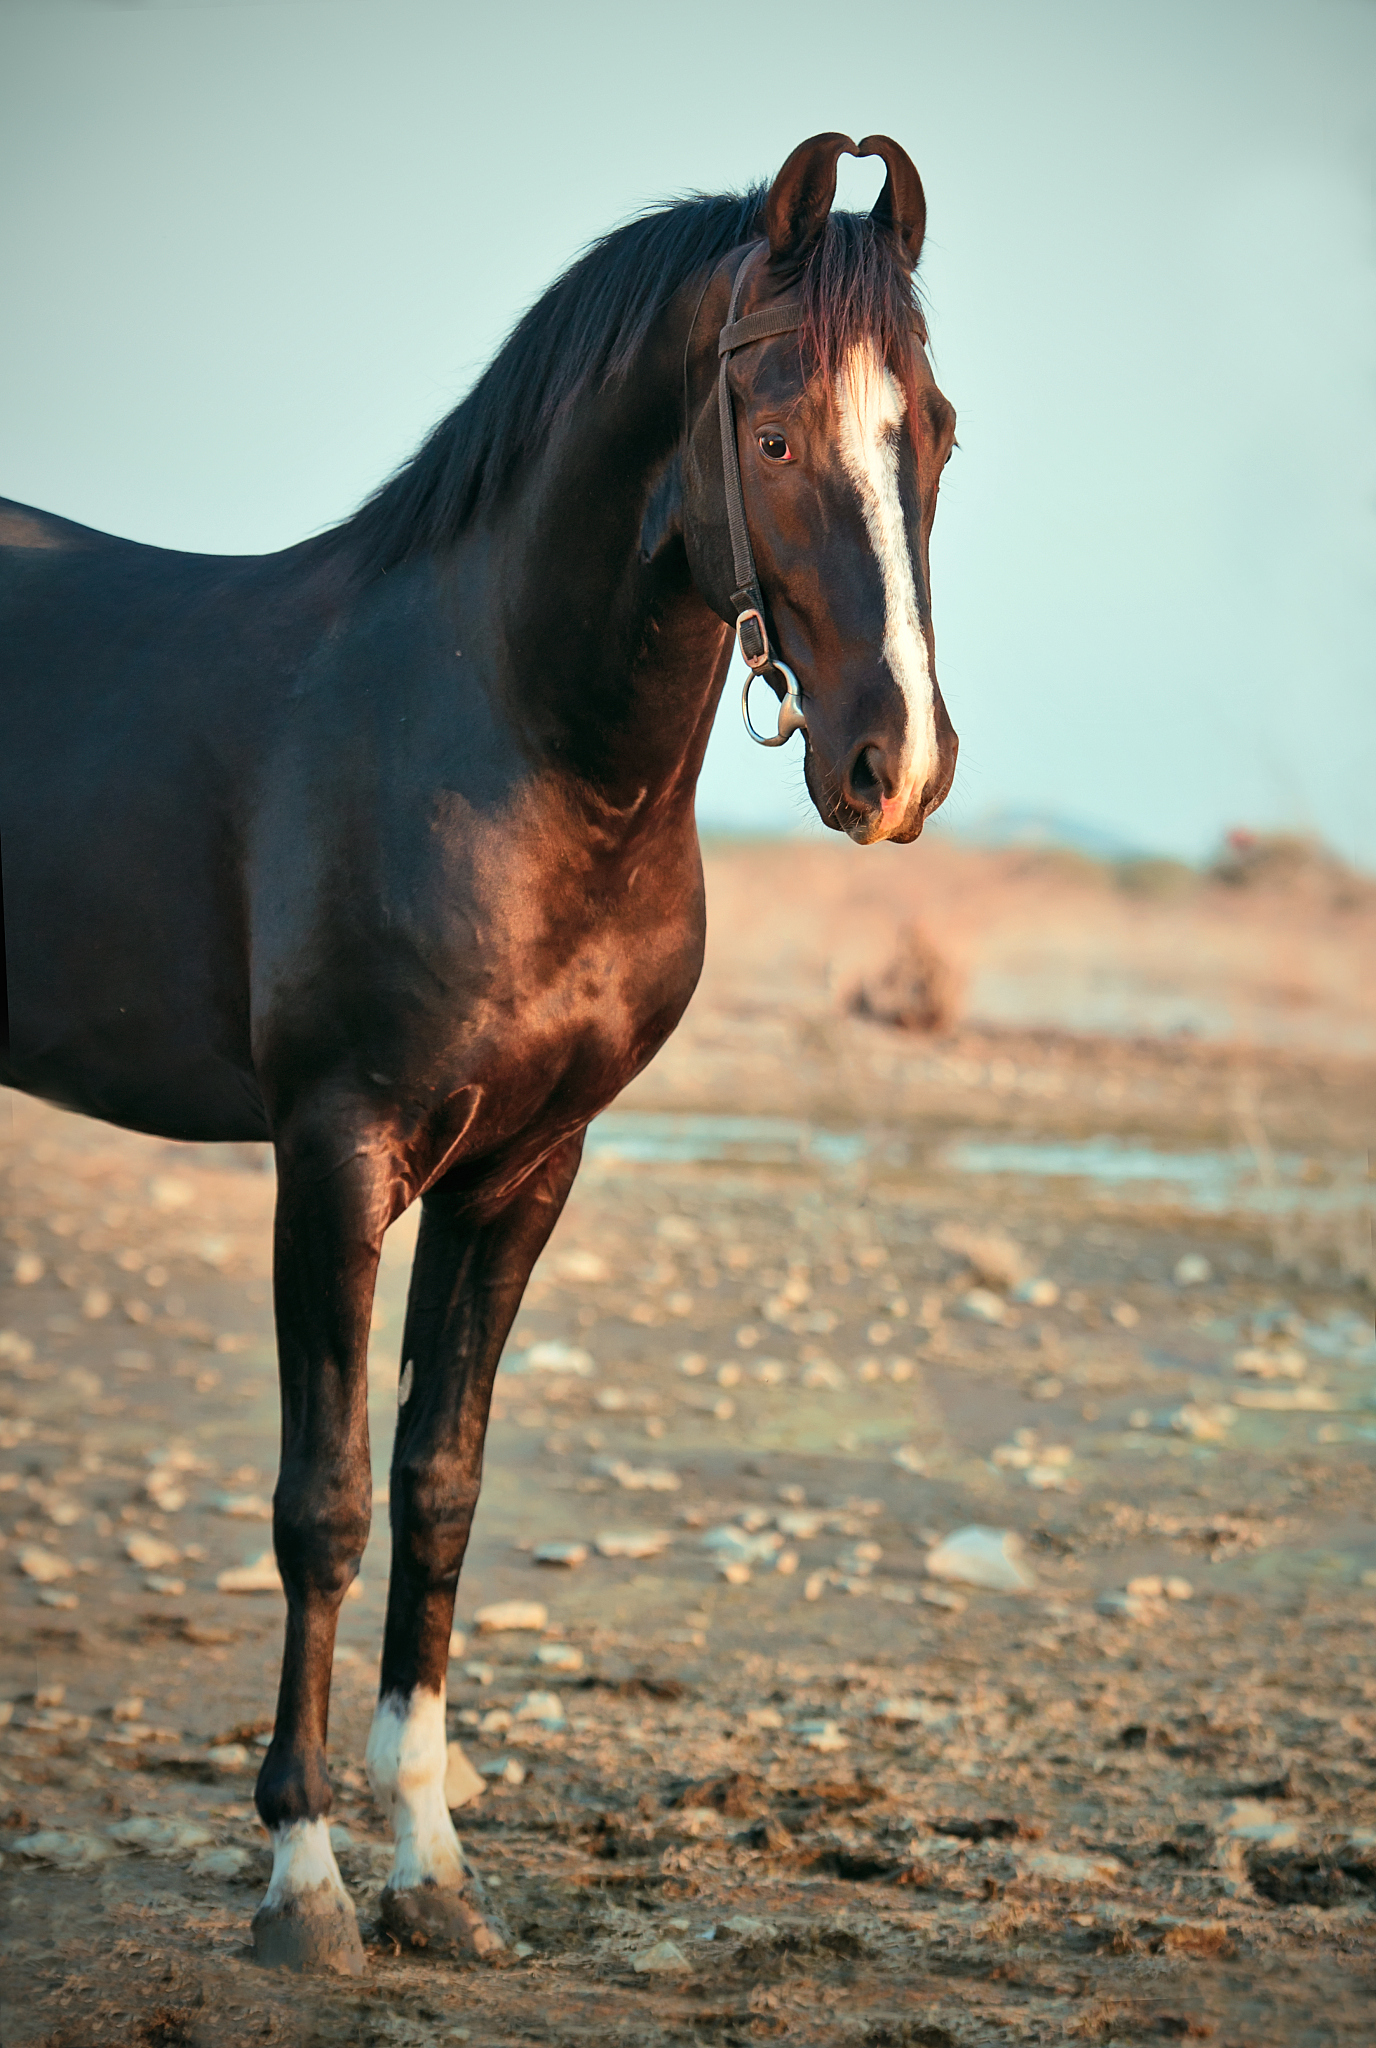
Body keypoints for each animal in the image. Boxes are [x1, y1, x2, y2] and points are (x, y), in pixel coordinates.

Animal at [0, 131, 958, 1972]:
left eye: (935, 430)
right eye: (774, 430)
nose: (900, 768)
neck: (503, 728)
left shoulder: (523, 1166)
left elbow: (438, 1486)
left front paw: (432, 1875)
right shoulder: (336, 1149)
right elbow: (324, 1501)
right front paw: (304, 1885)